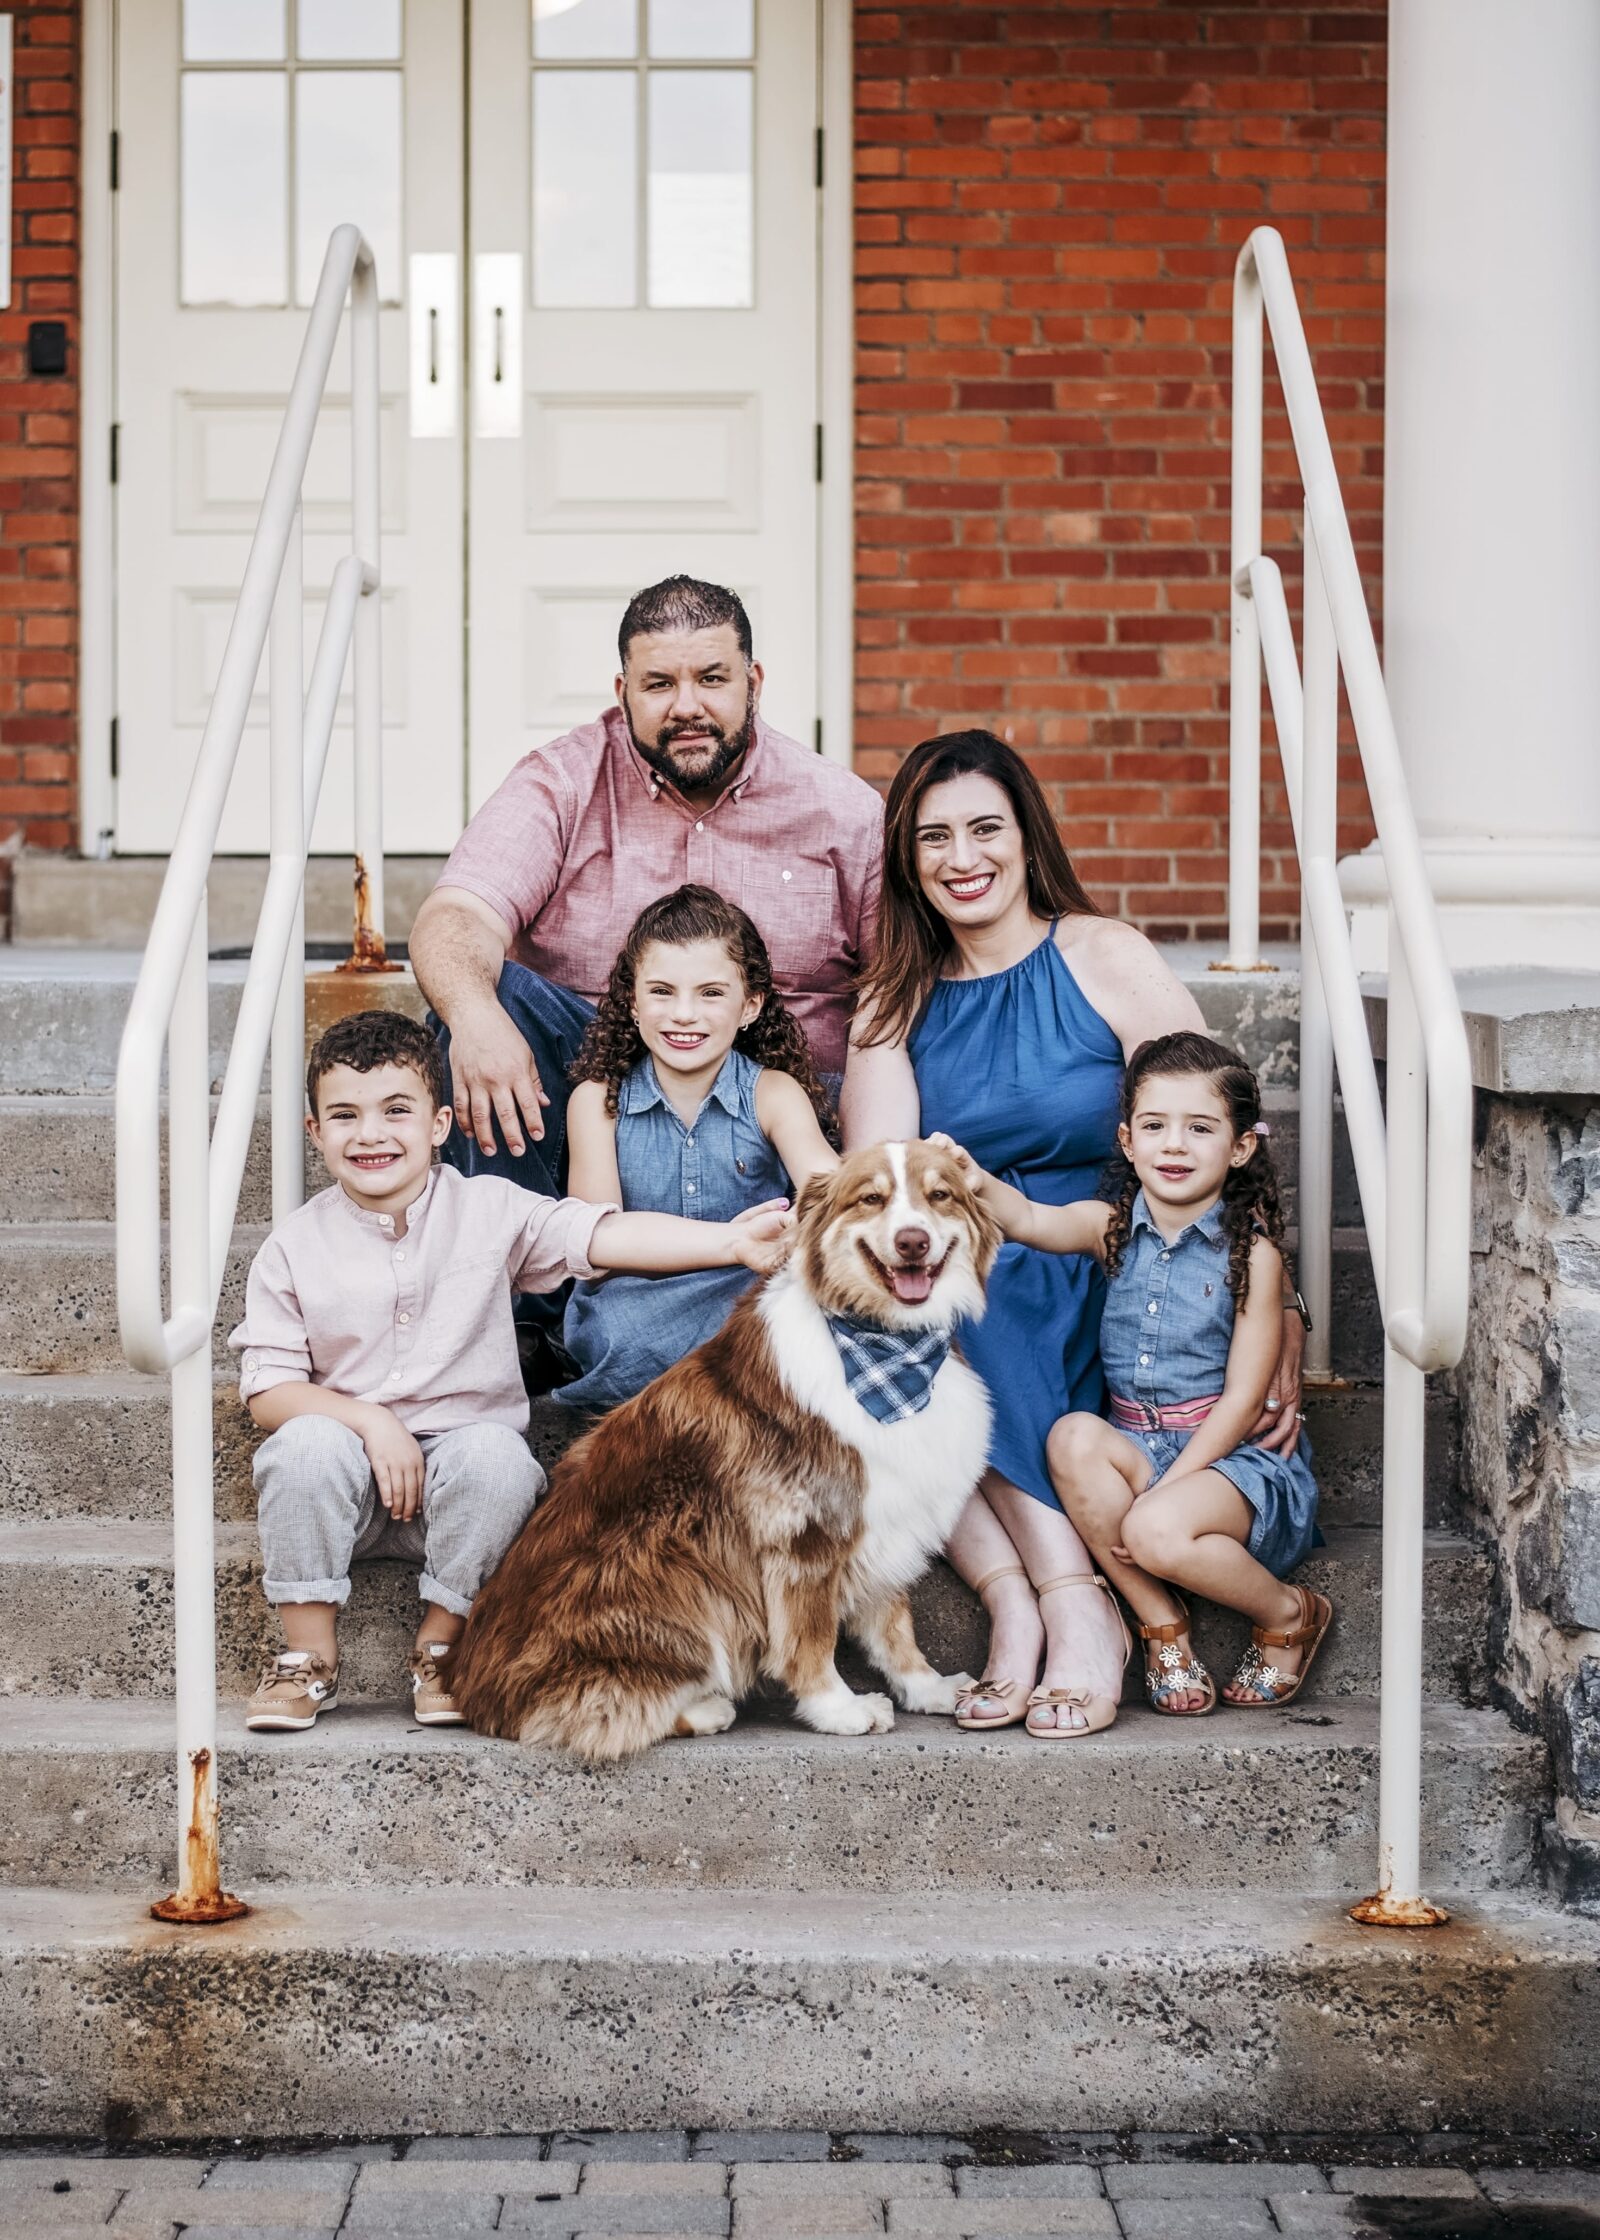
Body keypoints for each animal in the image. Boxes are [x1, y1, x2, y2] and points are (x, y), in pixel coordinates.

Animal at [448, 1146, 994, 1756]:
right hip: (672, 1578)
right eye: (871, 1198)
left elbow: (893, 1623)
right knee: (595, 1712)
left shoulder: (883, 1513)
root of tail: (478, 1699)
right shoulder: (805, 1531)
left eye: (939, 1195)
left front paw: (927, 1688)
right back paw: (707, 1710)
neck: (884, 1351)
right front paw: (839, 1710)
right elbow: (809, 1636)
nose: (912, 1242)